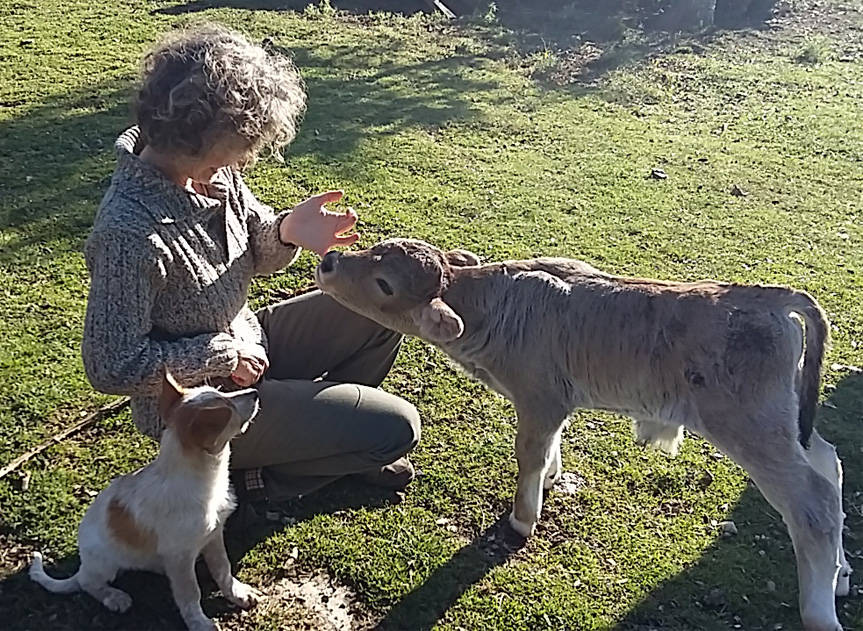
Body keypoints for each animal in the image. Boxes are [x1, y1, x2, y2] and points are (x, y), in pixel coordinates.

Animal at [31, 372, 260, 628]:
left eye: (221, 391)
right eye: (227, 410)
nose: (255, 393)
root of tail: (83, 565)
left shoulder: (214, 536)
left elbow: (223, 568)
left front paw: (238, 594)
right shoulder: (179, 555)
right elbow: (189, 593)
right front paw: (199, 623)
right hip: (105, 563)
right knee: (88, 583)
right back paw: (114, 596)